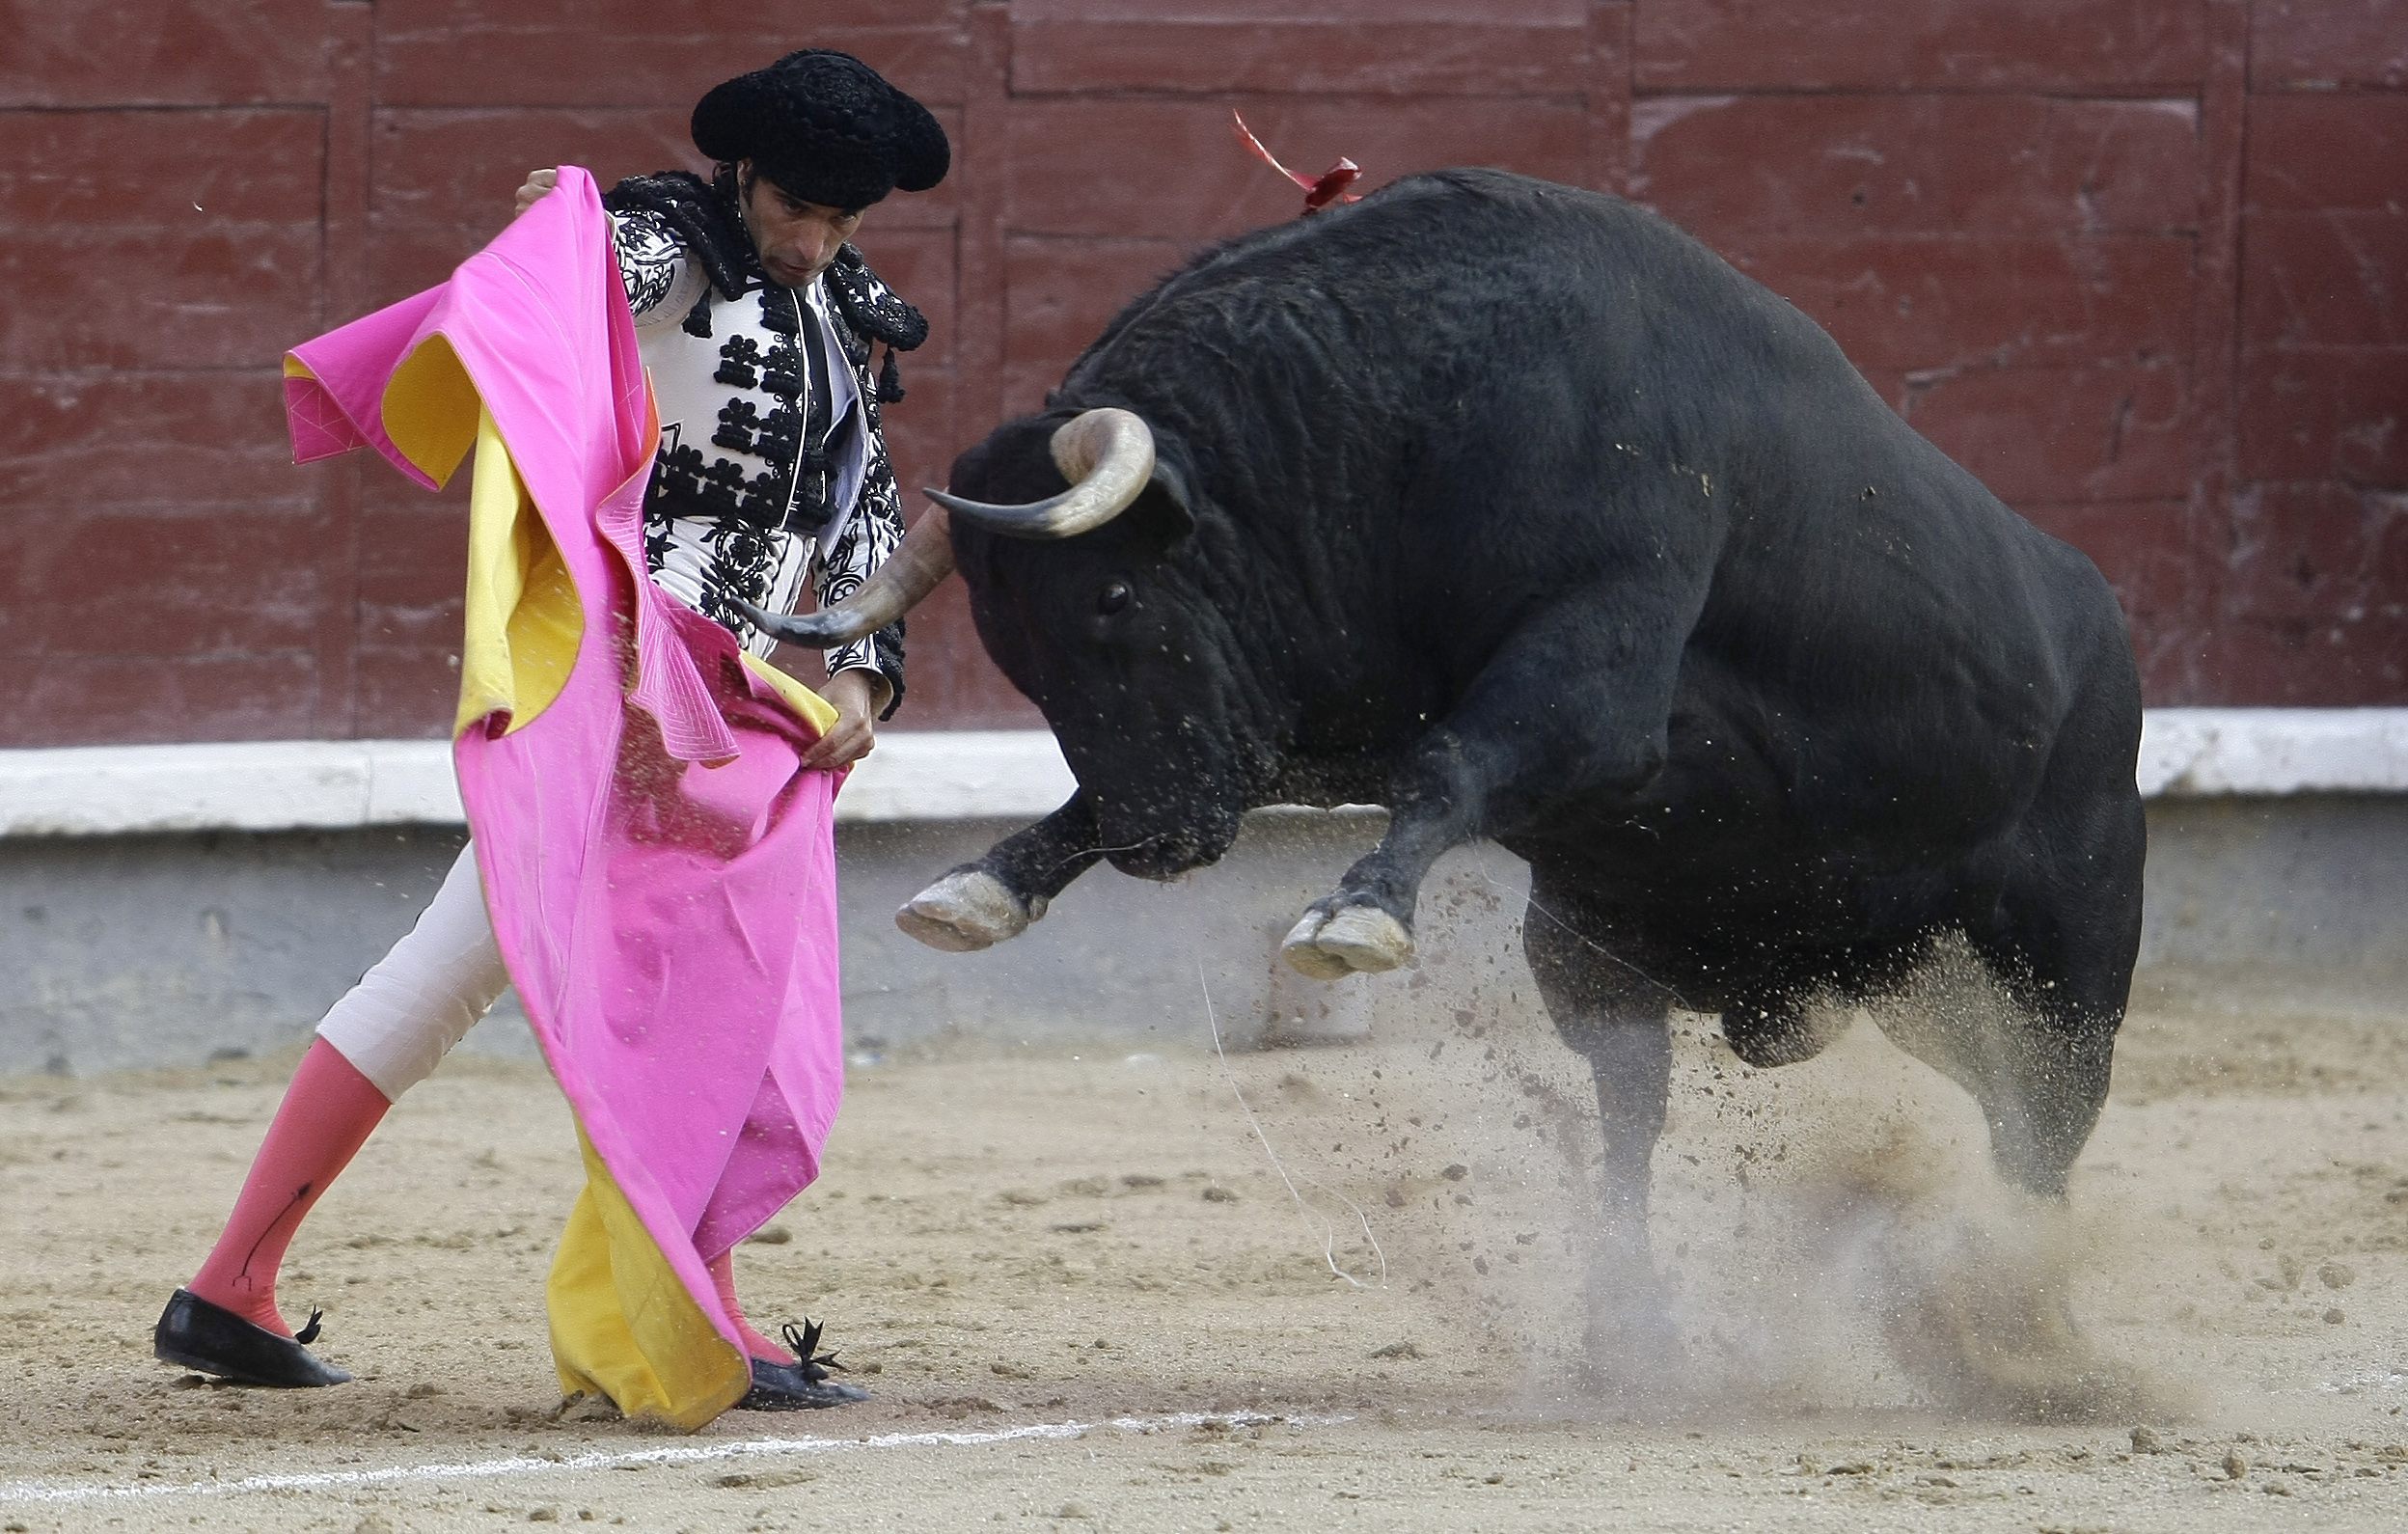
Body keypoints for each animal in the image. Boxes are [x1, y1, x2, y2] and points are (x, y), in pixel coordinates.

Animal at [751, 167, 2148, 1271]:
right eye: (1012, 654)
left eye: (1111, 601)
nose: (1156, 843)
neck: (1397, 403)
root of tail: (2100, 617)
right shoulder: (1312, 710)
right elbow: (1160, 783)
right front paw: (984, 884)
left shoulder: (1596, 674)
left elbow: (1453, 763)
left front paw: (1353, 916)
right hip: (1700, 969)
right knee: (1642, 1114)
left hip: (2062, 966)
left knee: (2042, 1138)